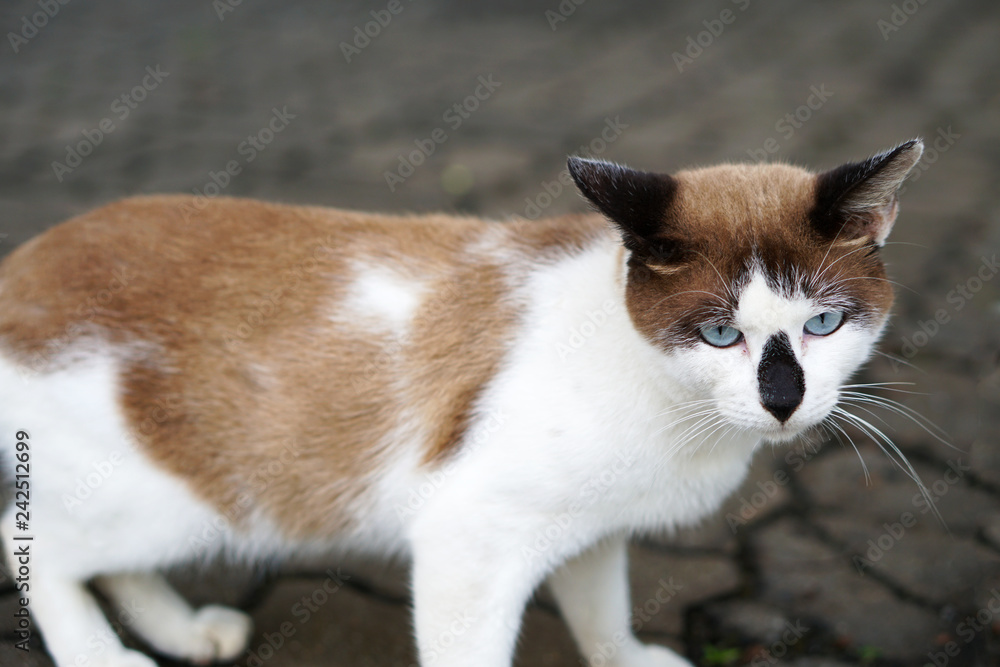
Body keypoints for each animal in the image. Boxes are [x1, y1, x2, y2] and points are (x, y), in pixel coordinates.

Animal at [0, 138, 920, 664]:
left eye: (824, 323)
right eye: (720, 334)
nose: (783, 401)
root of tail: (25, 260)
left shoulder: (591, 527)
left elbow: (601, 606)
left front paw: (623, 656)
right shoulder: (466, 537)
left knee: (102, 557)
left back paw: (183, 631)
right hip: (184, 497)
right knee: (39, 547)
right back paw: (104, 656)